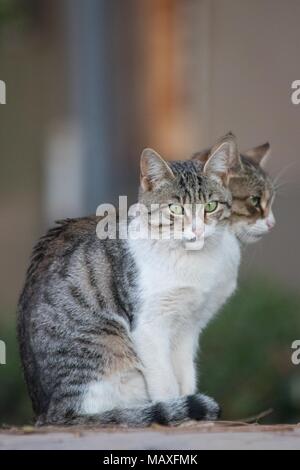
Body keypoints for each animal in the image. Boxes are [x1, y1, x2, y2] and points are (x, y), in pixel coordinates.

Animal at [17, 132, 276, 426]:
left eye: (210, 206)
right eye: (175, 208)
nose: (198, 230)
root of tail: (47, 413)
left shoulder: (189, 327)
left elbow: (186, 377)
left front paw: (192, 417)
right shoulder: (149, 327)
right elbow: (166, 384)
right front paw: (177, 414)